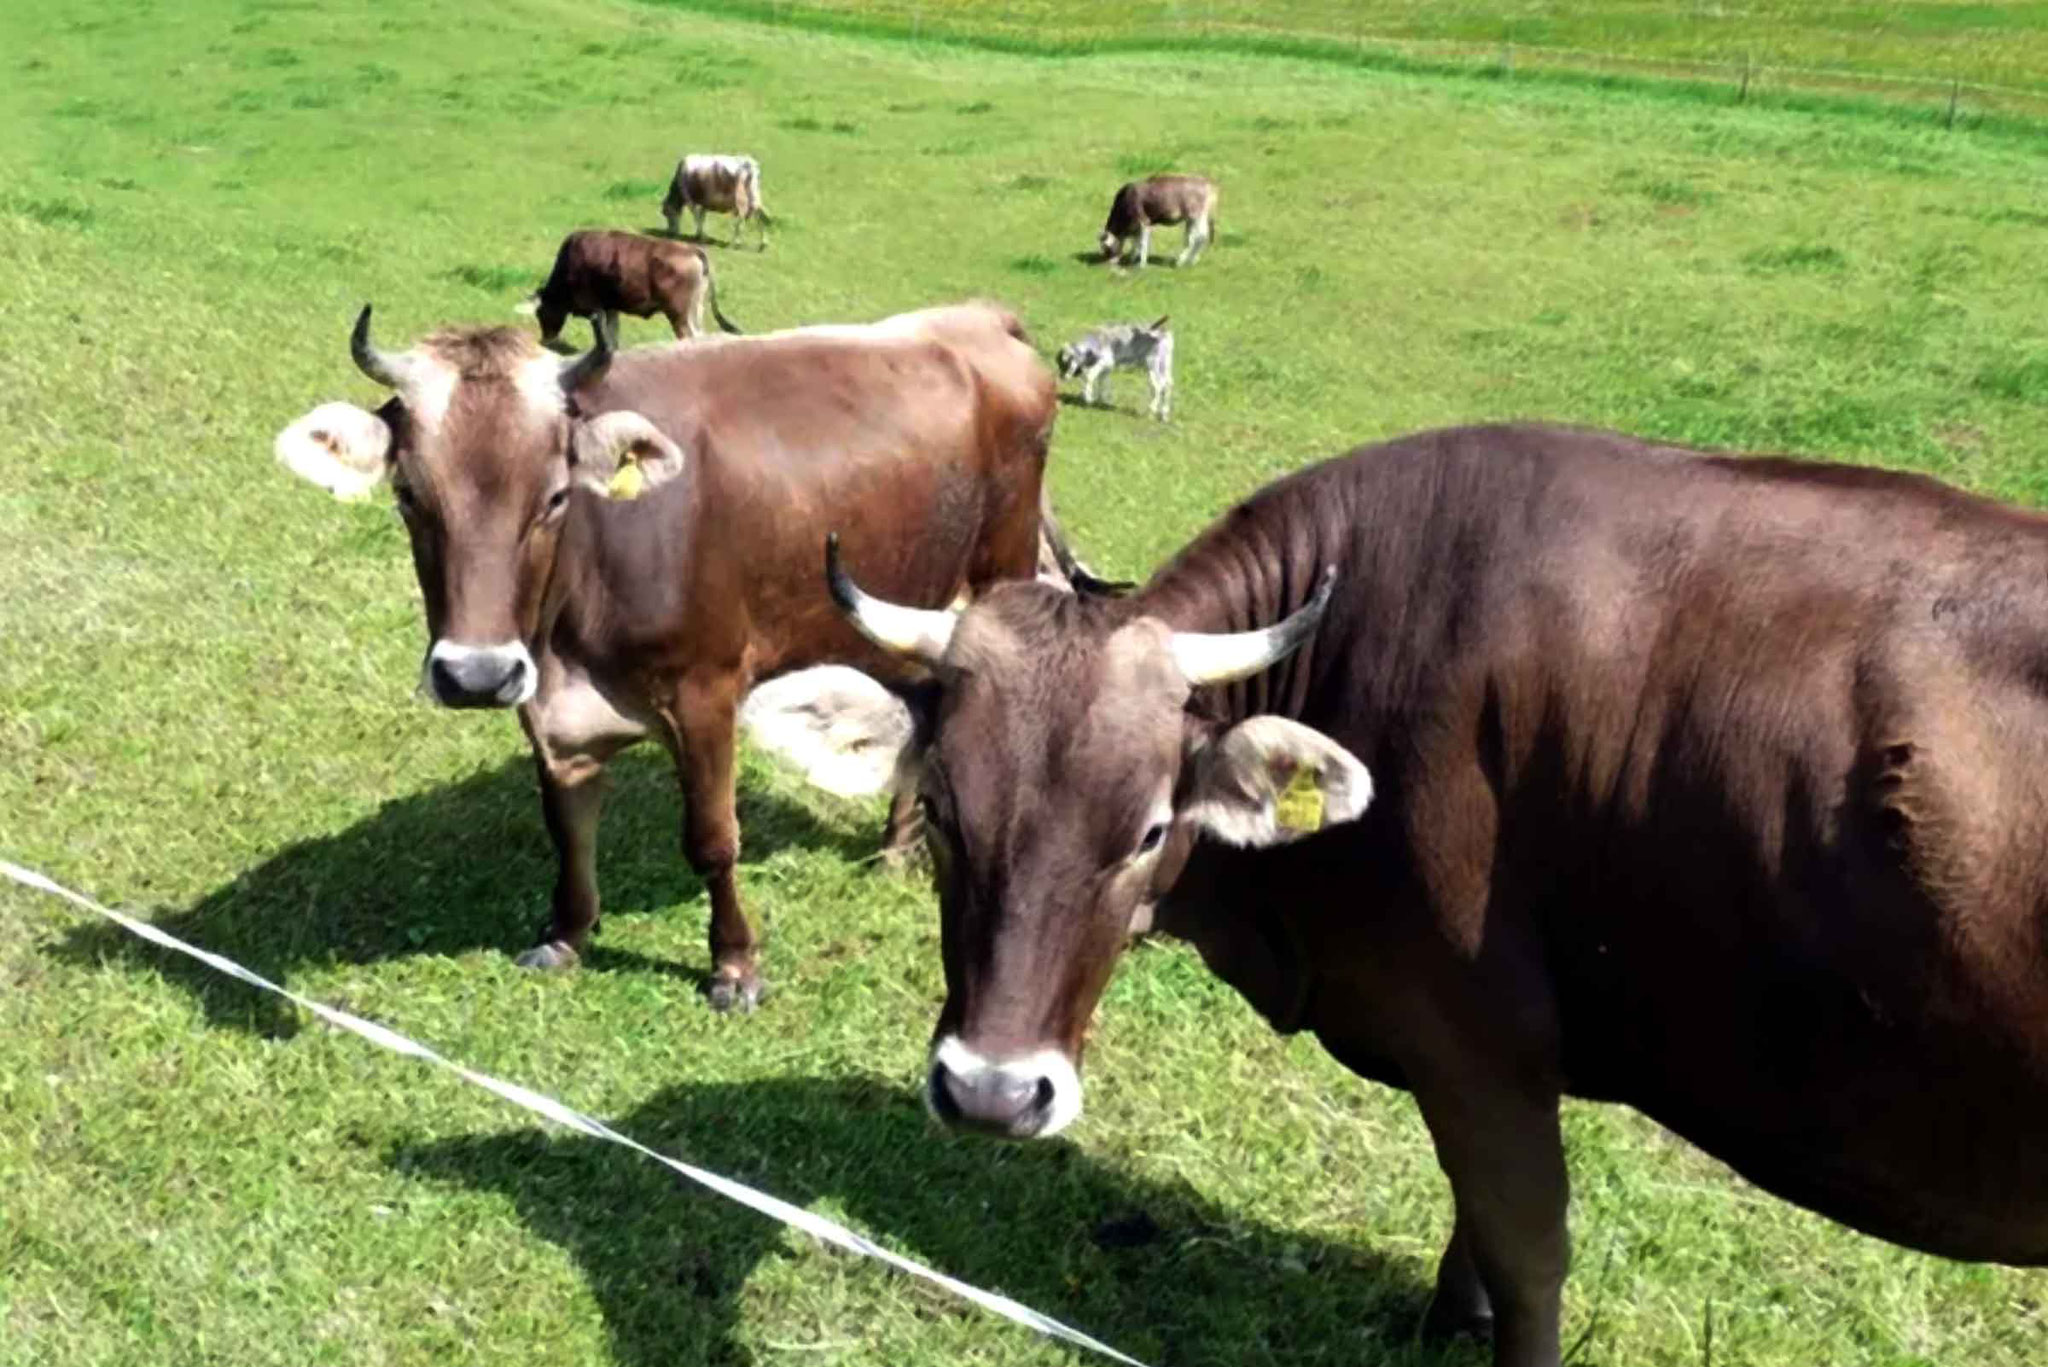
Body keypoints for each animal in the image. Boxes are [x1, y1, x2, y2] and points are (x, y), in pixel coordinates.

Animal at [274, 301, 1064, 1004]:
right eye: (409, 494)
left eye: (554, 497)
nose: (475, 675)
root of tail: (977, 316)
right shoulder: (551, 709)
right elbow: (567, 827)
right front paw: (565, 934)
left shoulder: (706, 691)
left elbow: (712, 839)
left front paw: (735, 967)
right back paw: (898, 845)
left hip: (997, 566)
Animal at [520, 229, 745, 348]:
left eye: (540, 313)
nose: (546, 339)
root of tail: (692, 249)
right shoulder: (610, 307)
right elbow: (613, 335)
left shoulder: (596, 309)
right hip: (695, 309)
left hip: (679, 315)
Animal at [757, 422, 2048, 1360]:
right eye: (943, 809)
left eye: (1149, 826)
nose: (988, 1092)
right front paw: (1440, 1314)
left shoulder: (1479, 1038)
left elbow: (1526, 1249)